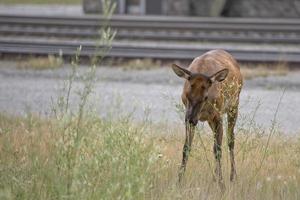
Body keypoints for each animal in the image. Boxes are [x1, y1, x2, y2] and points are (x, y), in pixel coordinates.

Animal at [172, 49, 243, 187]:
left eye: (205, 97)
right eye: (186, 95)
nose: (191, 119)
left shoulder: (218, 115)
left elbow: (219, 150)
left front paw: (222, 185)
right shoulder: (189, 115)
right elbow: (186, 148)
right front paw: (178, 181)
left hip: (234, 105)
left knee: (230, 140)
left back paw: (233, 177)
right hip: (211, 119)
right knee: (216, 144)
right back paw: (215, 177)